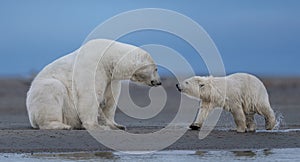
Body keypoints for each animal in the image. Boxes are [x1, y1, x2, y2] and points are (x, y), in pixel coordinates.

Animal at [26, 39, 162, 130]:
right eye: (156, 69)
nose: (159, 82)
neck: (108, 57)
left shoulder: (110, 77)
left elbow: (110, 100)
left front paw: (116, 125)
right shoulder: (93, 65)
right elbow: (89, 96)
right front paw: (96, 126)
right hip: (43, 91)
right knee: (52, 90)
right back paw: (61, 125)